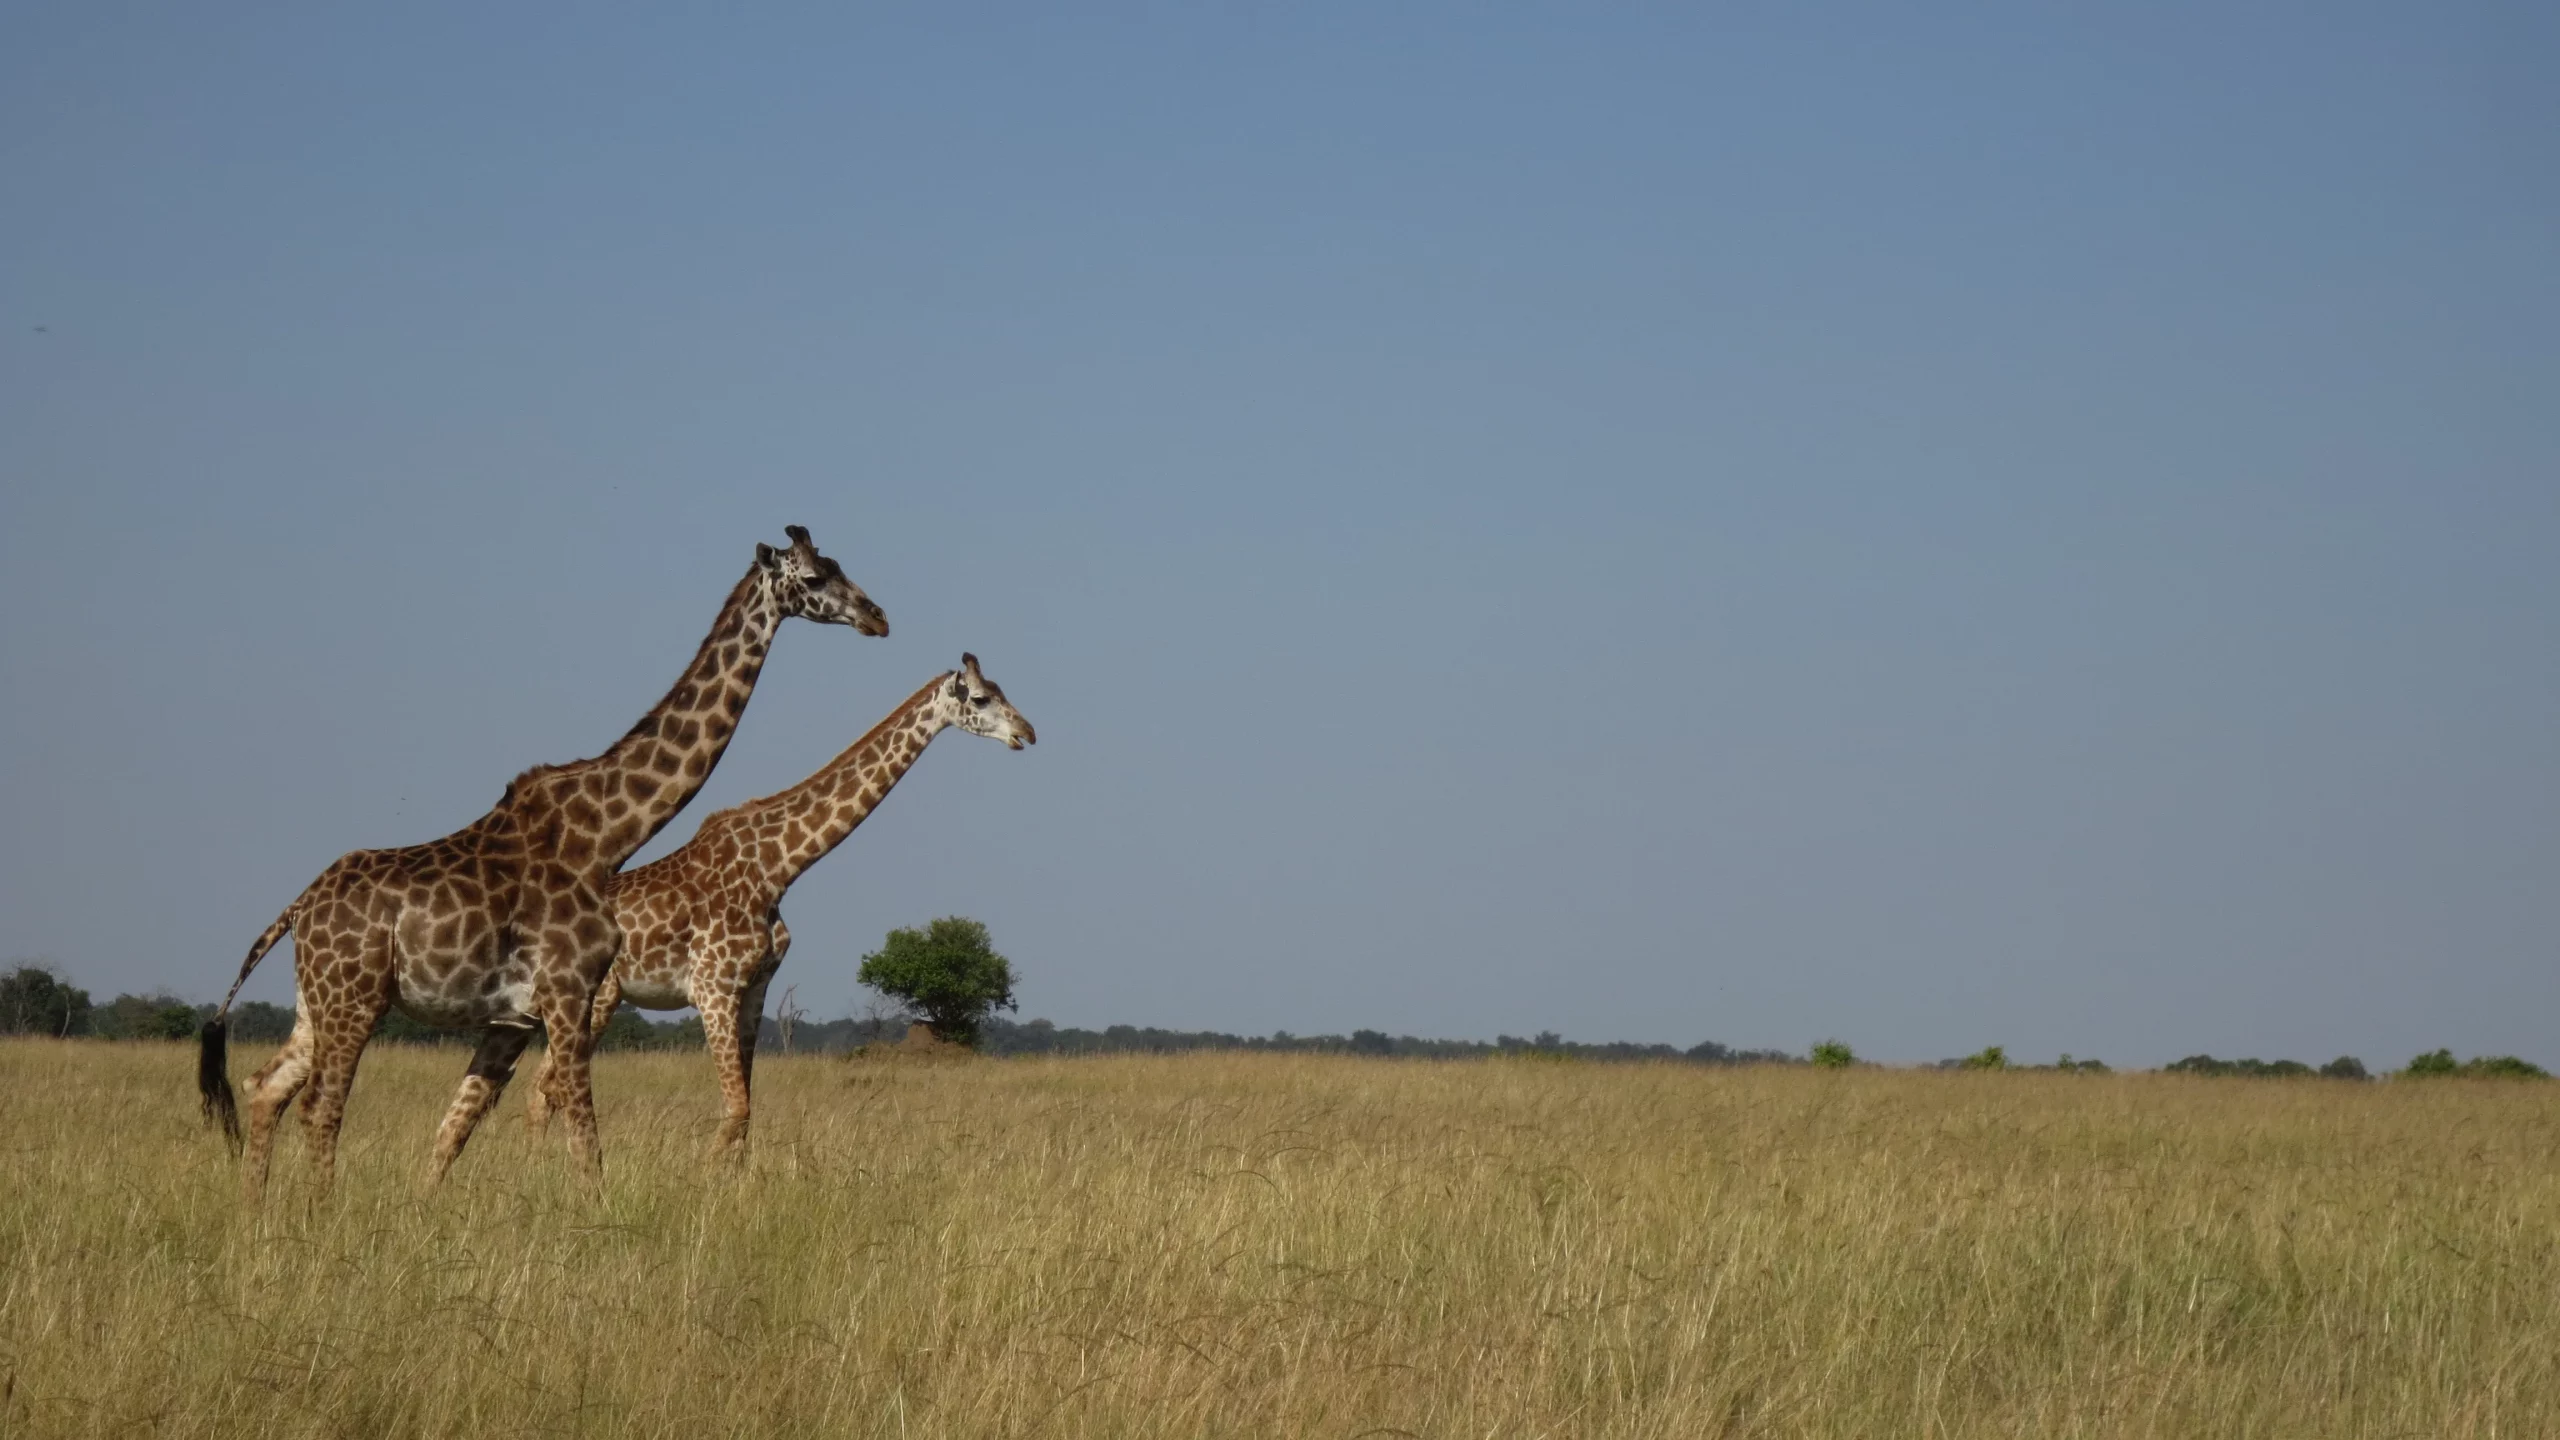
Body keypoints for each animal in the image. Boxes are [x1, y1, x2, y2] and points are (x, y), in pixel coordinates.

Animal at [197, 527, 890, 1188]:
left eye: (839, 564)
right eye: (813, 576)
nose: (878, 616)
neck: (605, 835)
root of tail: (296, 910)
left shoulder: (519, 1014)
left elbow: (464, 1125)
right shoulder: (569, 990)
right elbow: (585, 1138)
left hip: (316, 1003)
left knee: (266, 1088)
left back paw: (256, 1217)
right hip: (354, 997)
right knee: (322, 1107)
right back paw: (317, 1214)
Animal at [519, 655, 1029, 1147]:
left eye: (1003, 690)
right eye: (981, 698)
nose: (1027, 732)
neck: (778, 868)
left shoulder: (756, 987)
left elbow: (745, 1111)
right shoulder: (713, 987)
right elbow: (736, 1109)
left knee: (541, 1088)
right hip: (599, 996)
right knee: (550, 1086)